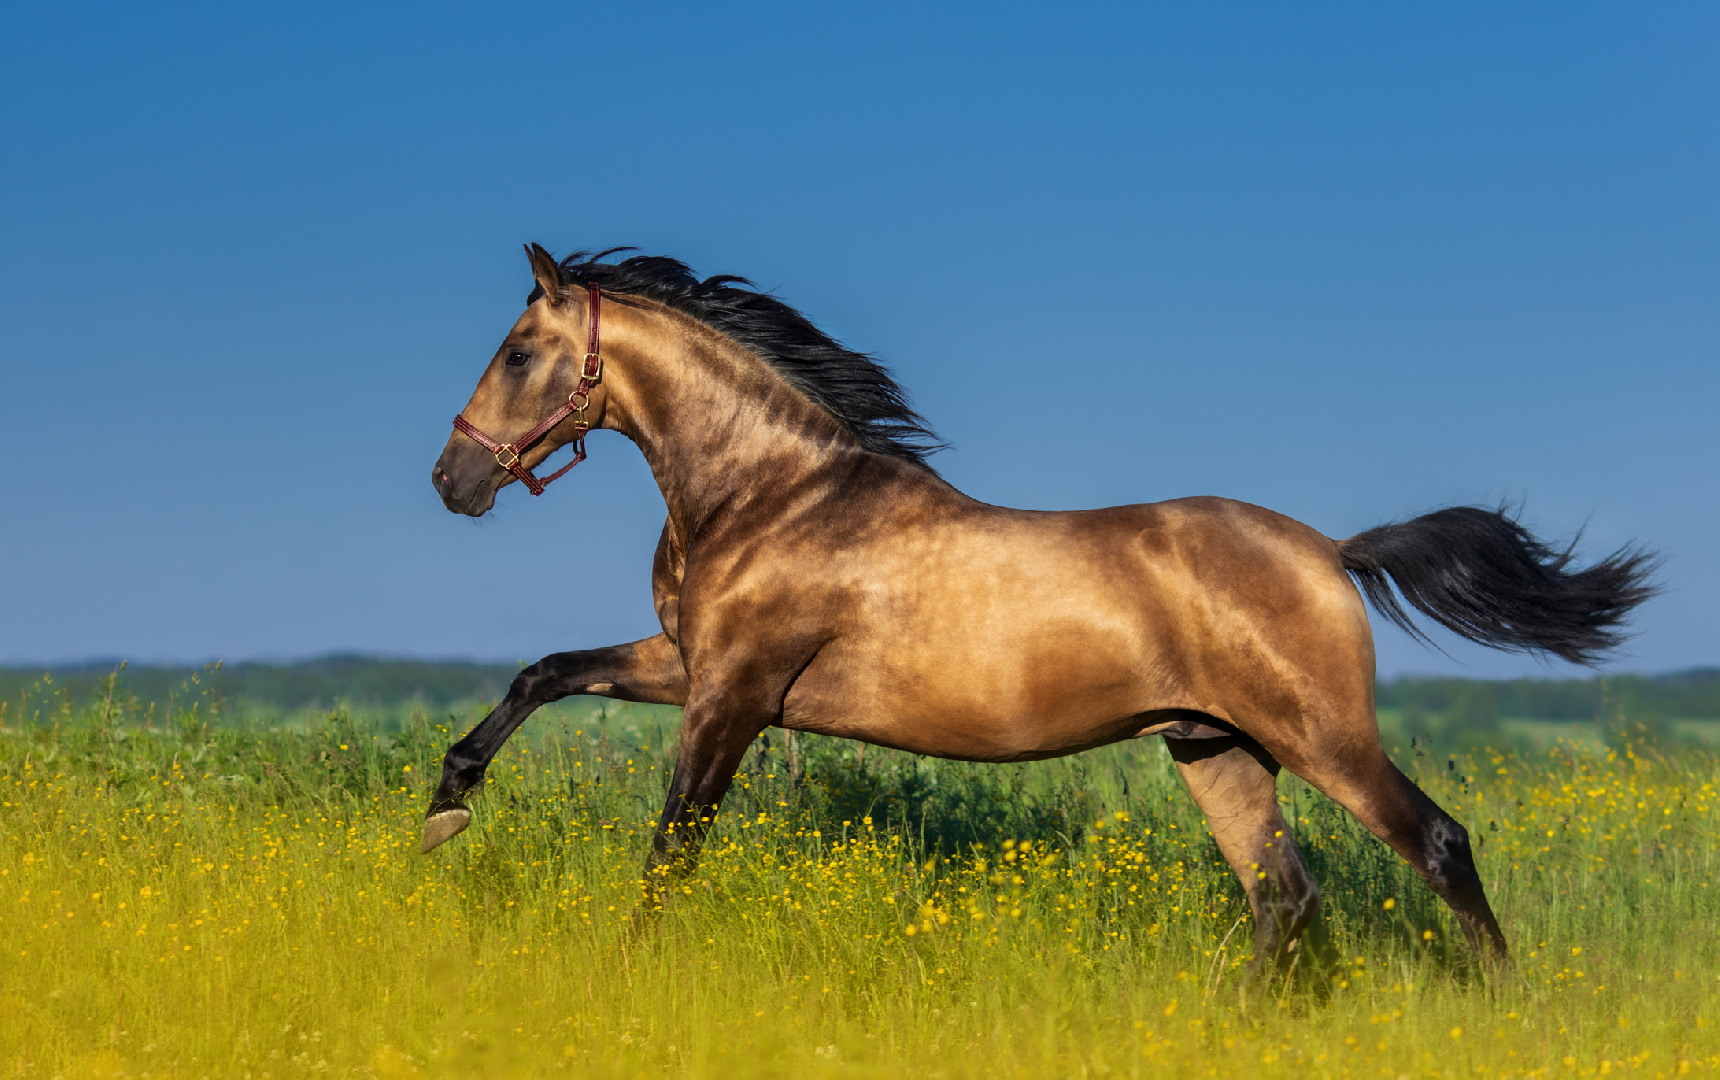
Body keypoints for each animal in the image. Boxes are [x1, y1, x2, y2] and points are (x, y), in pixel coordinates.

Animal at [416, 244, 1651, 976]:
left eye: (519, 352)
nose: (451, 482)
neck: (772, 497)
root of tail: (1329, 553)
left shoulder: (734, 693)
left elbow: (672, 846)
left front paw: (627, 965)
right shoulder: (691, 664)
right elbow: (544, 673)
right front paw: (442, 812)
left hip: (1320, 736)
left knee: (1435, 846)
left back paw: (1504, 1008)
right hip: (1217, 748)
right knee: (1284, 901)